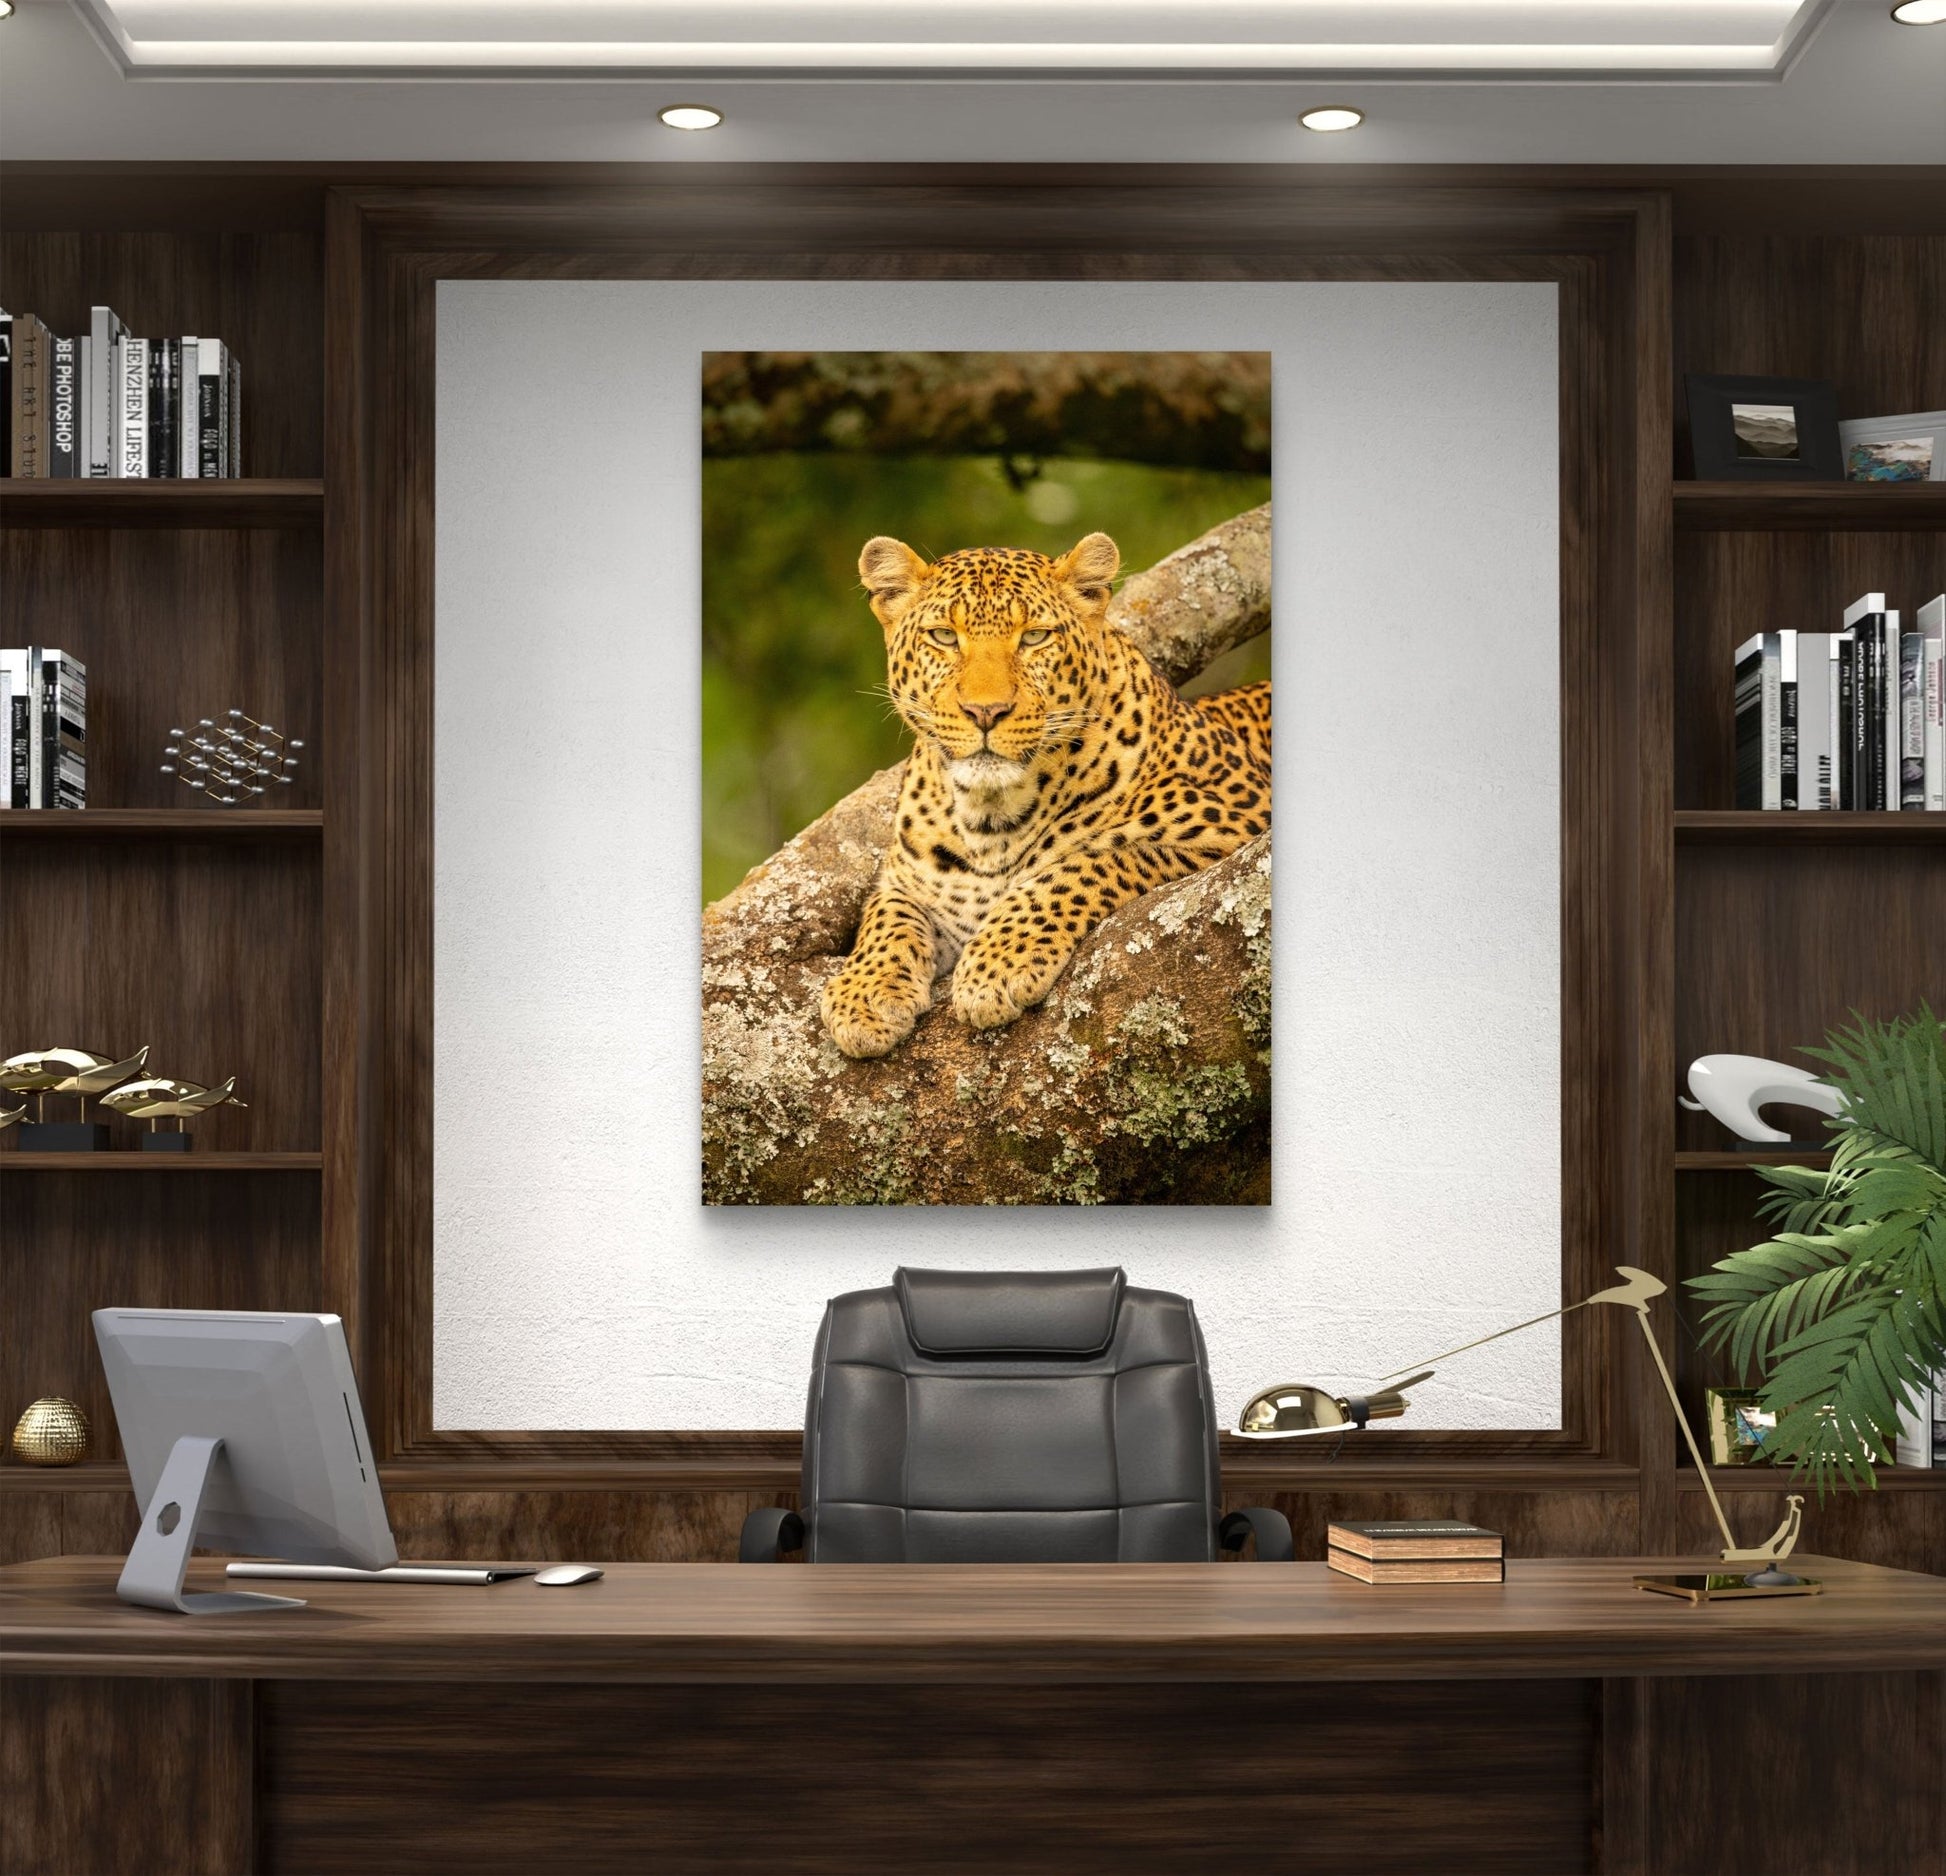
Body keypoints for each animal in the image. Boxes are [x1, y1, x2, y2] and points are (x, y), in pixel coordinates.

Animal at [818, 530, 1272, 1060]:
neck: (989, 817)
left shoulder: (1238, 819)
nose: (985, 711)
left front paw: (998, 964)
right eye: (944, 636)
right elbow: (886, 914)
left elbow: (1087, 863)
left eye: (1034, 637)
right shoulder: (909, 881)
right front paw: (864, 993)